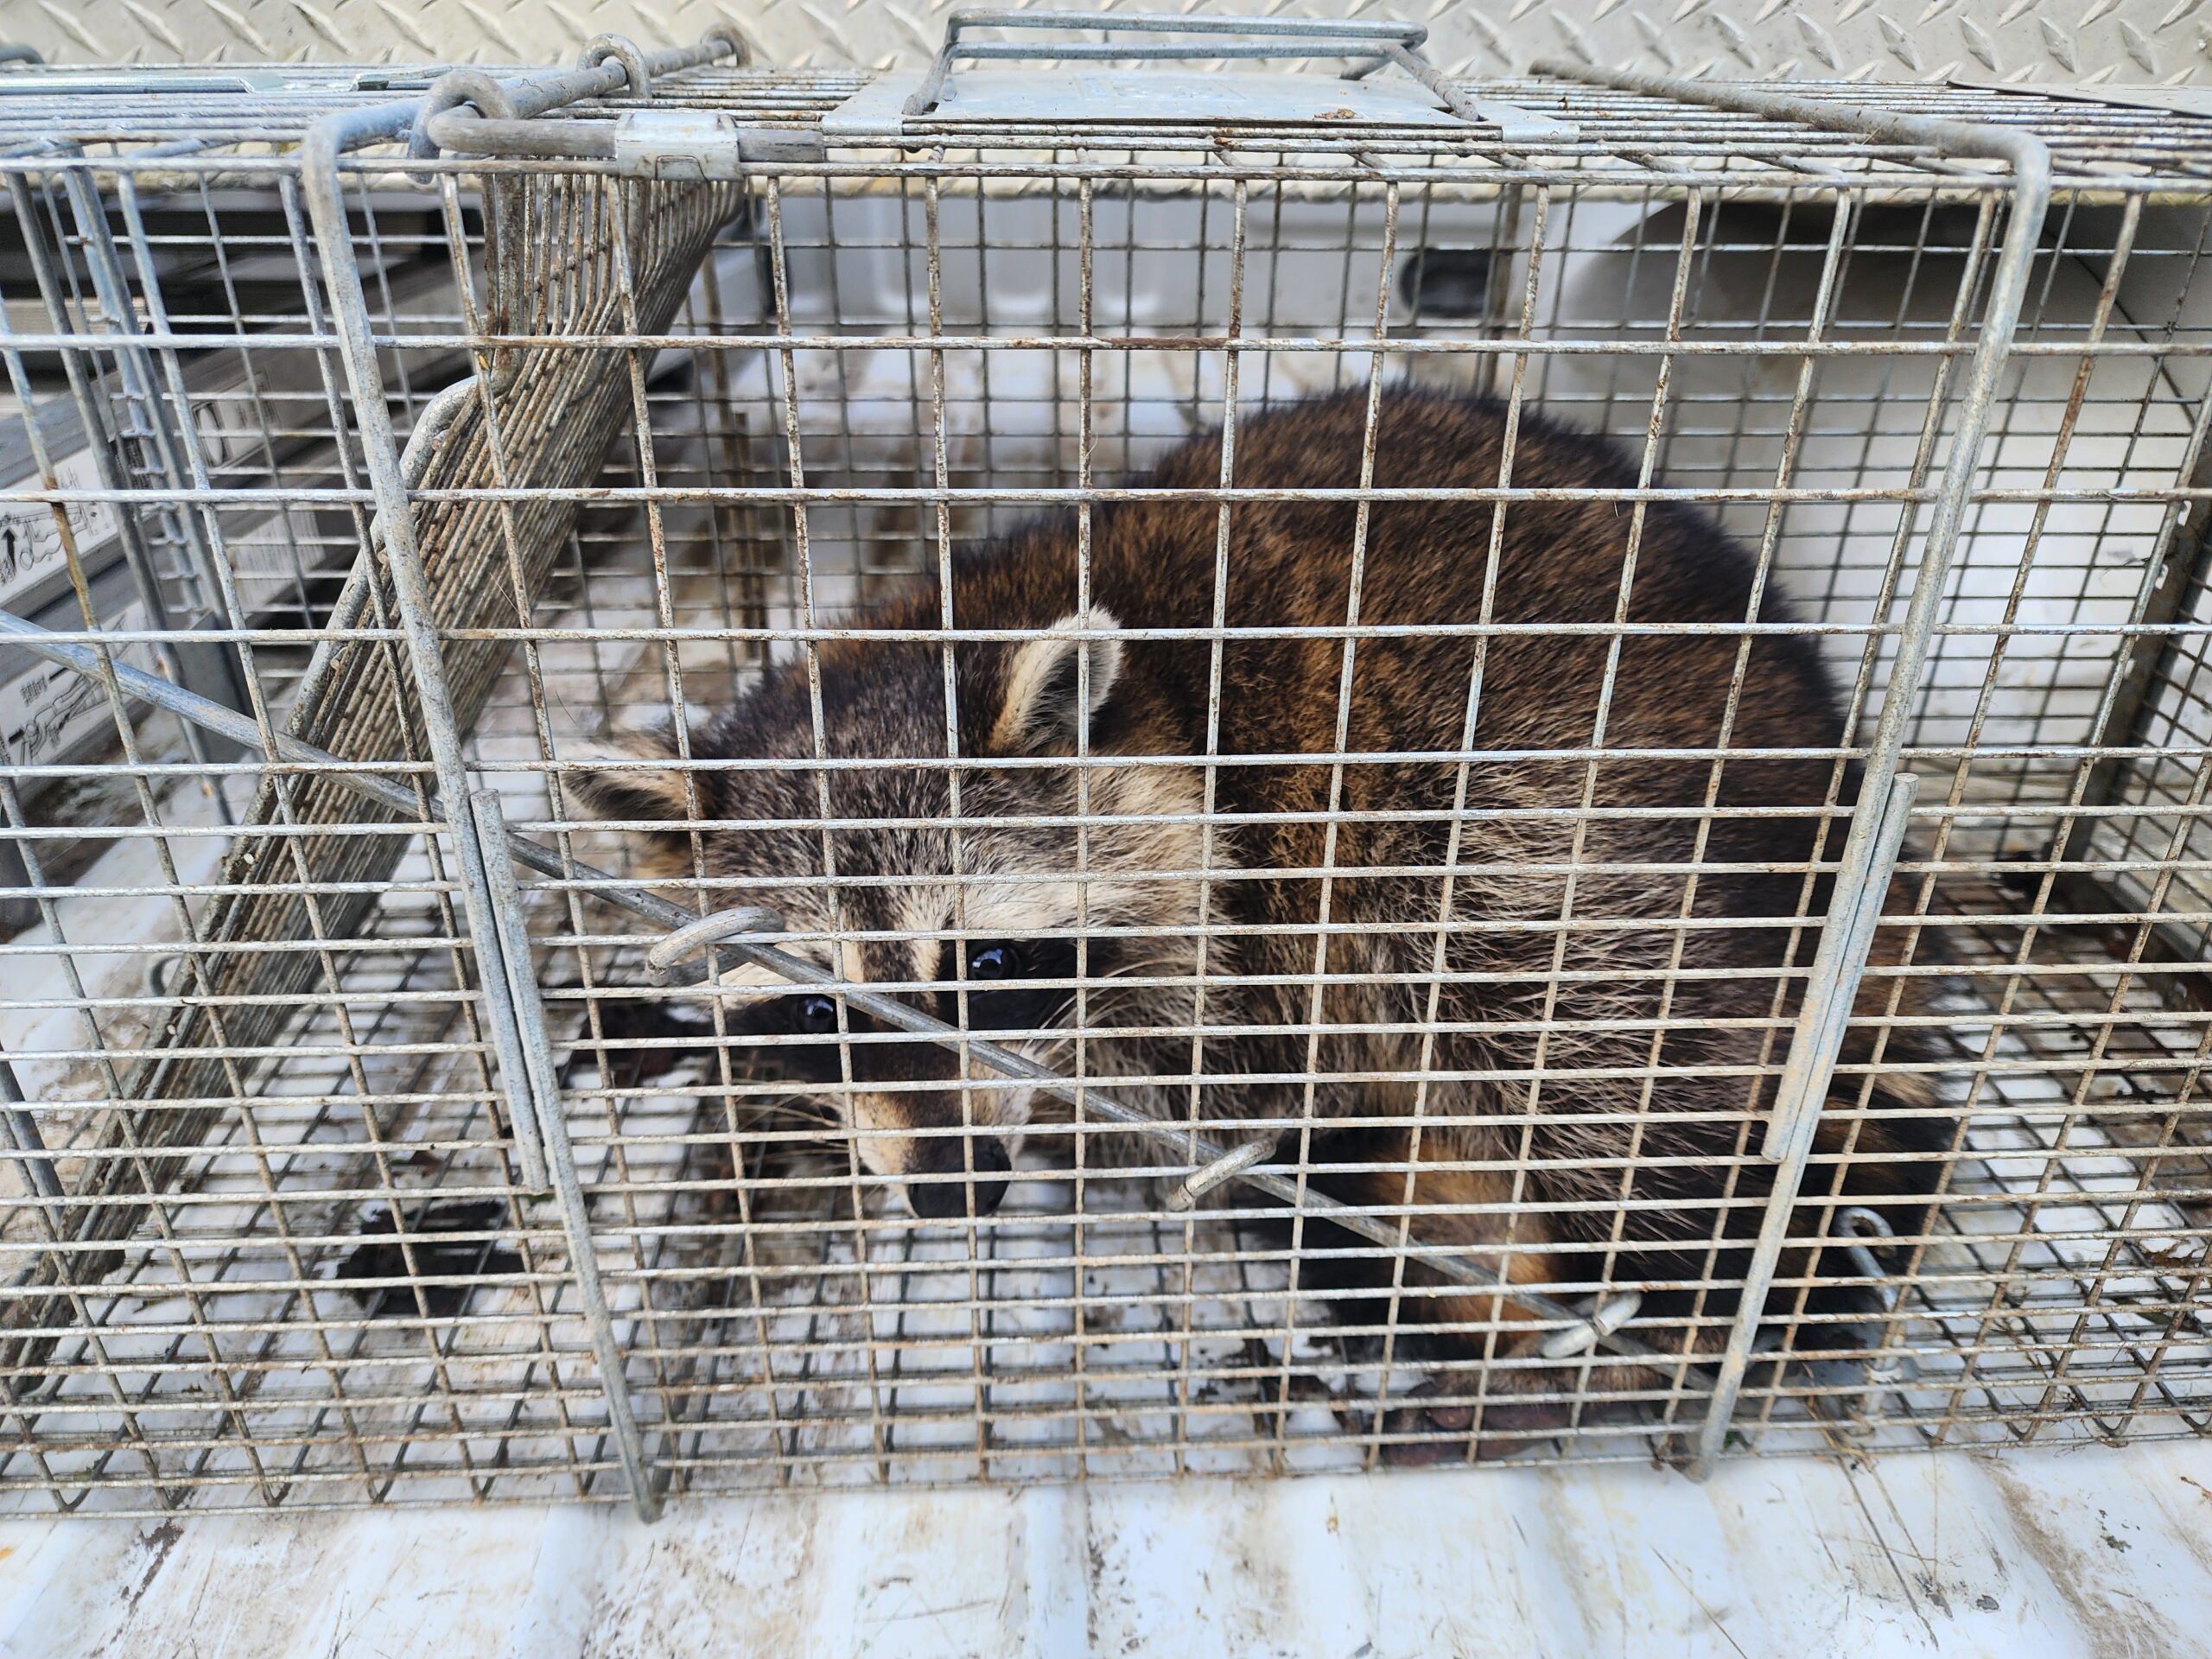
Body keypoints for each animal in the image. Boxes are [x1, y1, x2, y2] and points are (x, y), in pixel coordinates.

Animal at [576, 387, 1949, 1461]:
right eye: (816, 1004)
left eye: (988, 961)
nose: (958, 1188)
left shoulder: (1269, 903)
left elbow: (1229, 1077)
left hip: (1557, 806)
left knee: (1591, 1059)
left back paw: (1649, 1337)